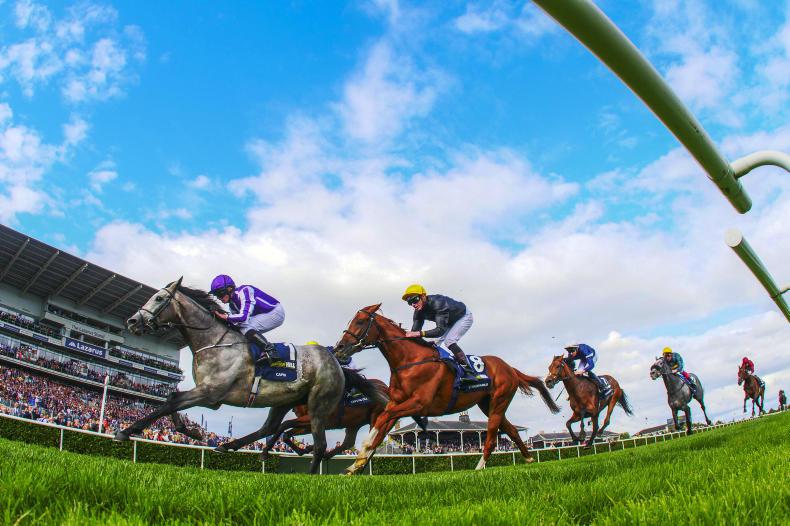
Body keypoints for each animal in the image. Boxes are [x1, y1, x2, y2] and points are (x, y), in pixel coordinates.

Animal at [120, 278, 387, 474]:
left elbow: (170, 402)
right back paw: (230, 446)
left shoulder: (209, 393)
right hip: (284, 401)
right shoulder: (211, 398)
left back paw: (311, 477)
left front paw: (126, 431)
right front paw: (192, 432)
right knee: (270, 427)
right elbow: (171, 398)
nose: (132, 321)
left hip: (318, 406)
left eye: (159, 298)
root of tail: (335, 363)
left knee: (320, 445)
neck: (213, 342)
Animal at [334, 304, 560, 475]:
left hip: (499, 400)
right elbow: (382, 426)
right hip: (488, 403)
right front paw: (356, 464)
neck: (410, 360)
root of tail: (509, 368)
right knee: (511, 430)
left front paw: (362, 453)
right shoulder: (396, 403)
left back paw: (479, 467)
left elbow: (382, 420)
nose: (339, 347)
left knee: (491, 436)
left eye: (360, 322)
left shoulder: (418, 403)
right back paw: (529, 459)